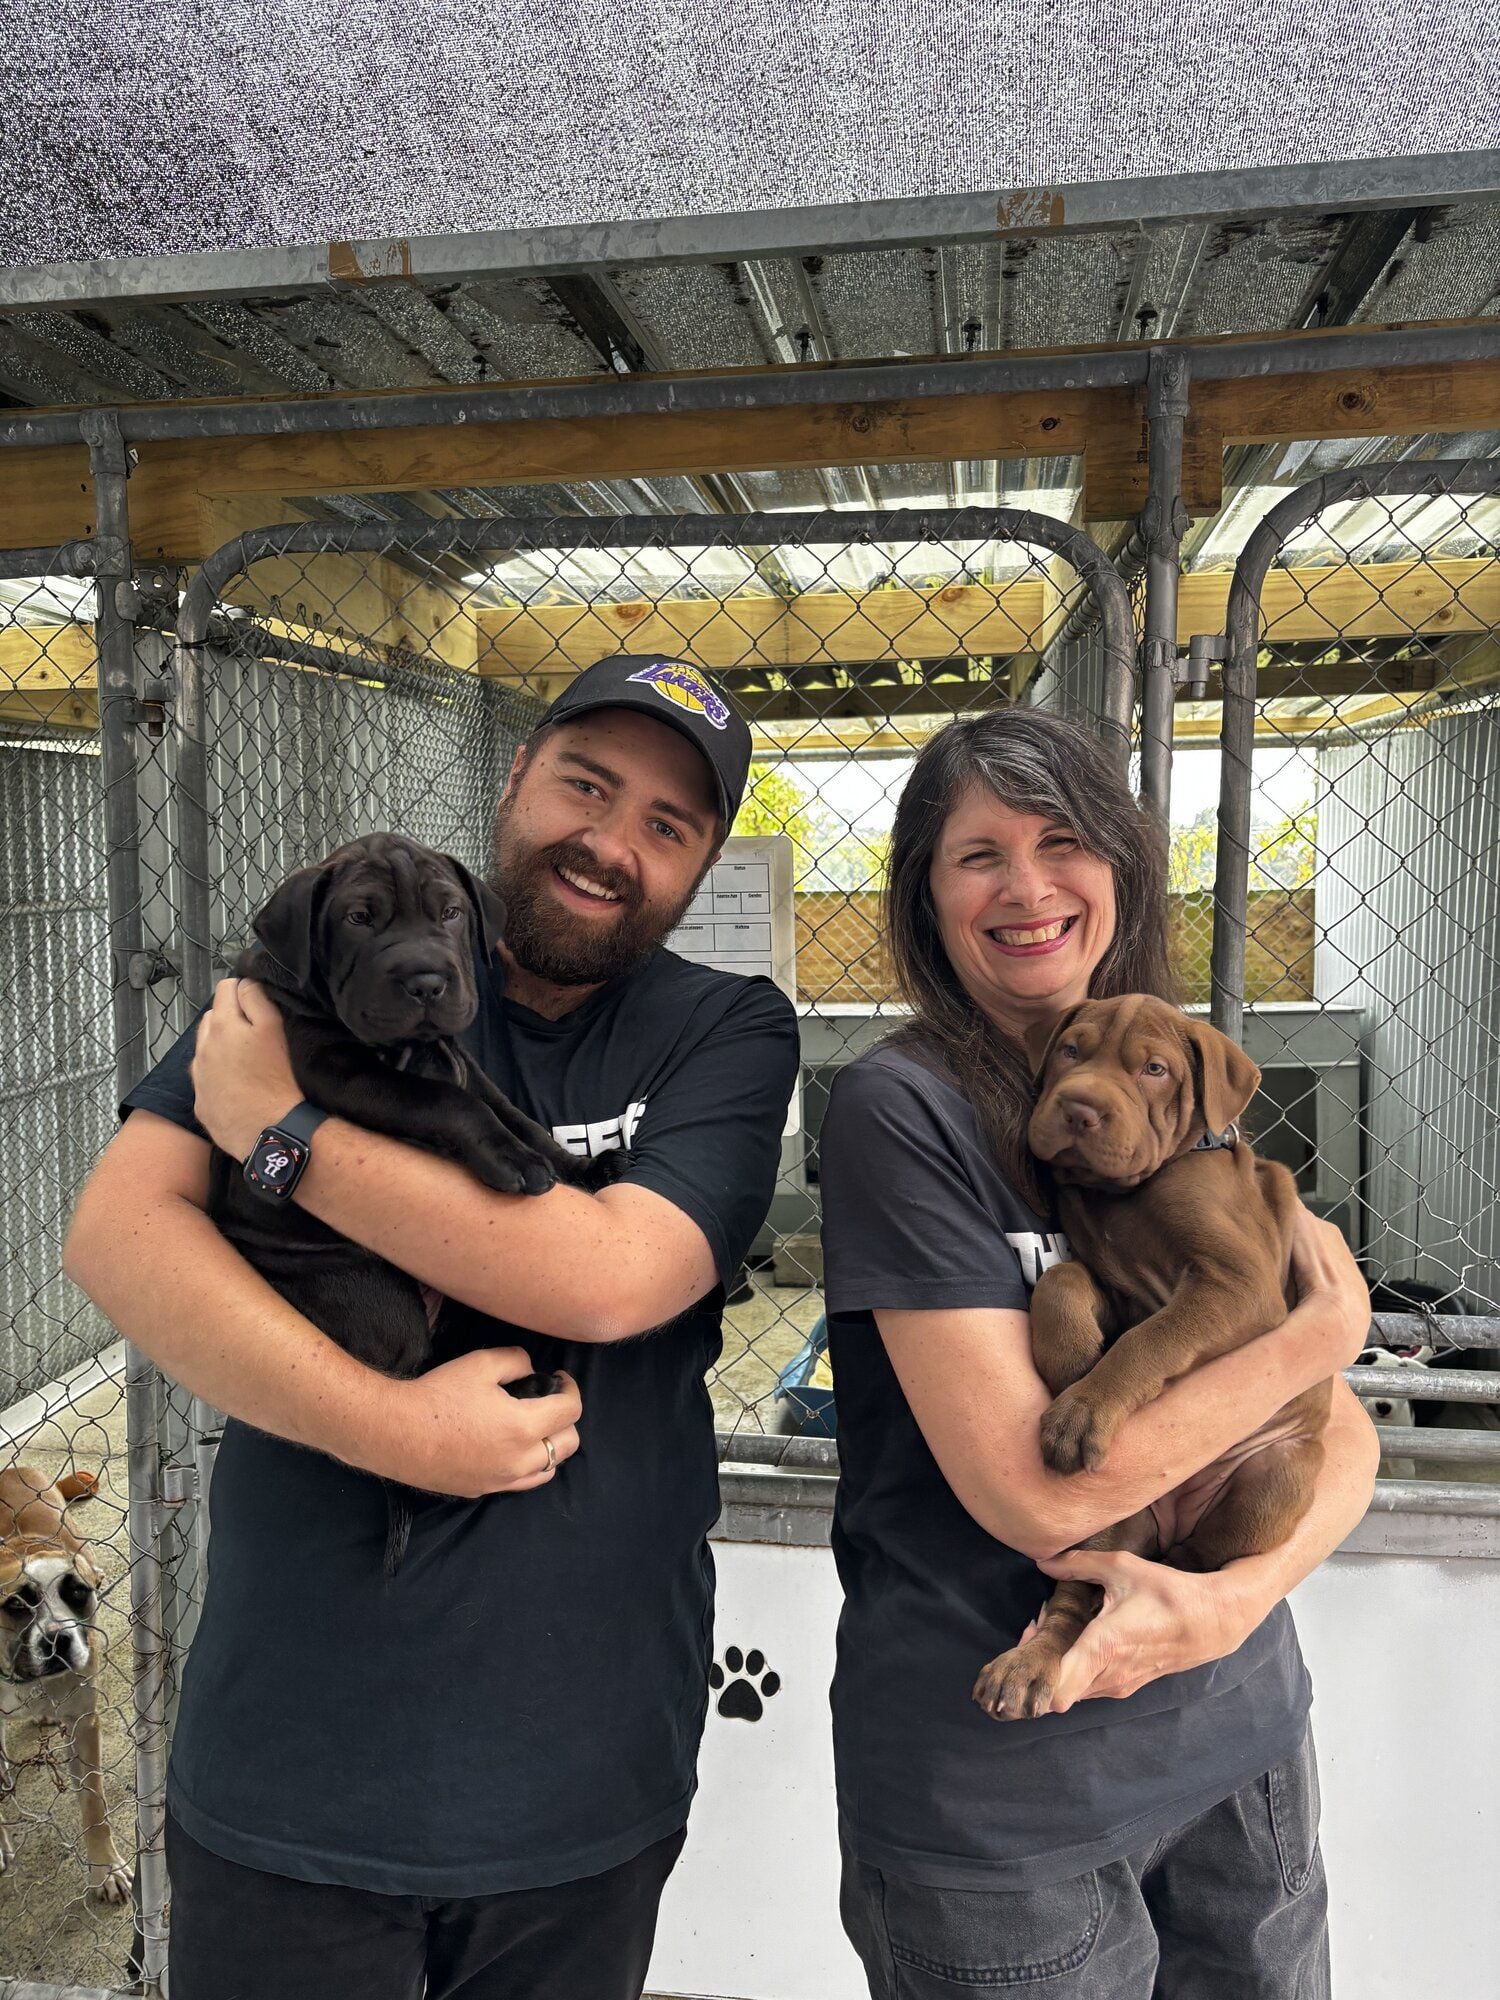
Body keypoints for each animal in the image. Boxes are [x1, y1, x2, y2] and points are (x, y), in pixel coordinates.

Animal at [0, 1472, 131, 1904]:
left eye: (77, 1593)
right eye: (16, 1605)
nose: (58, 1638)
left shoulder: (83, 1723)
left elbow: (93, 1803)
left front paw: (106, 1868)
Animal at [206, 828, 616, 1560]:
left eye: (451, 913)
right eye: (358, 918)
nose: (427, 982)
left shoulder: (461, 1056)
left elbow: (511, 1112)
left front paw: (576, 1170)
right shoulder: (339, 1071)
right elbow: (447, 1103)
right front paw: (513, 1164)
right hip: (377, 1300)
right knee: (407, 1401)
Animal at [980, 1000, 1336, 1720]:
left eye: (1154, 1069)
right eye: (1070, 1051)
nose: (1080, 1108)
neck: (1124, 1195)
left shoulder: (1236, 1285)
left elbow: (1154, 1339)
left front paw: (1081, 1412)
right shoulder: (1115, 1287)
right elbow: (1061, 1282)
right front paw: (1072, 1359)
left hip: (1275, 1476)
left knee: (1198, 1557)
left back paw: (1174, 1570)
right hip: (1109, 1522)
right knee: (1074, 1602)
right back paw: (1024, 1670)